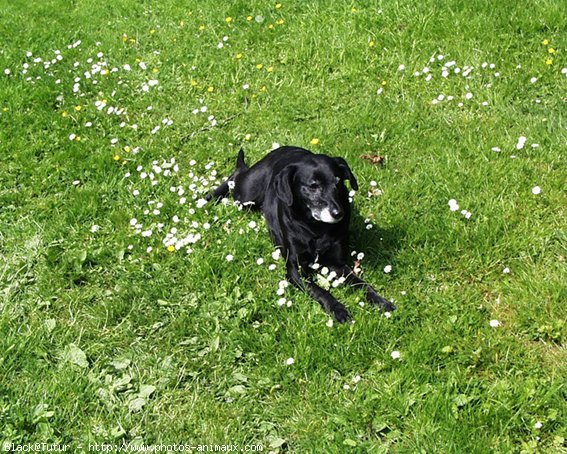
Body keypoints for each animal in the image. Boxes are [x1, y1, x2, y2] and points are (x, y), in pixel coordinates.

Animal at [206, 146, 398, 322]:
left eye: (337, 182)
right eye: (313, 186)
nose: (338, 213)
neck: (316, 228)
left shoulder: (338, 264)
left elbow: (361, 283)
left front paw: (380, 301)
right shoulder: (294, 270)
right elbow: (320, 290)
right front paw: (338, 309)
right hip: (246, 195)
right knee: (235, 177)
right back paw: (210, 196)